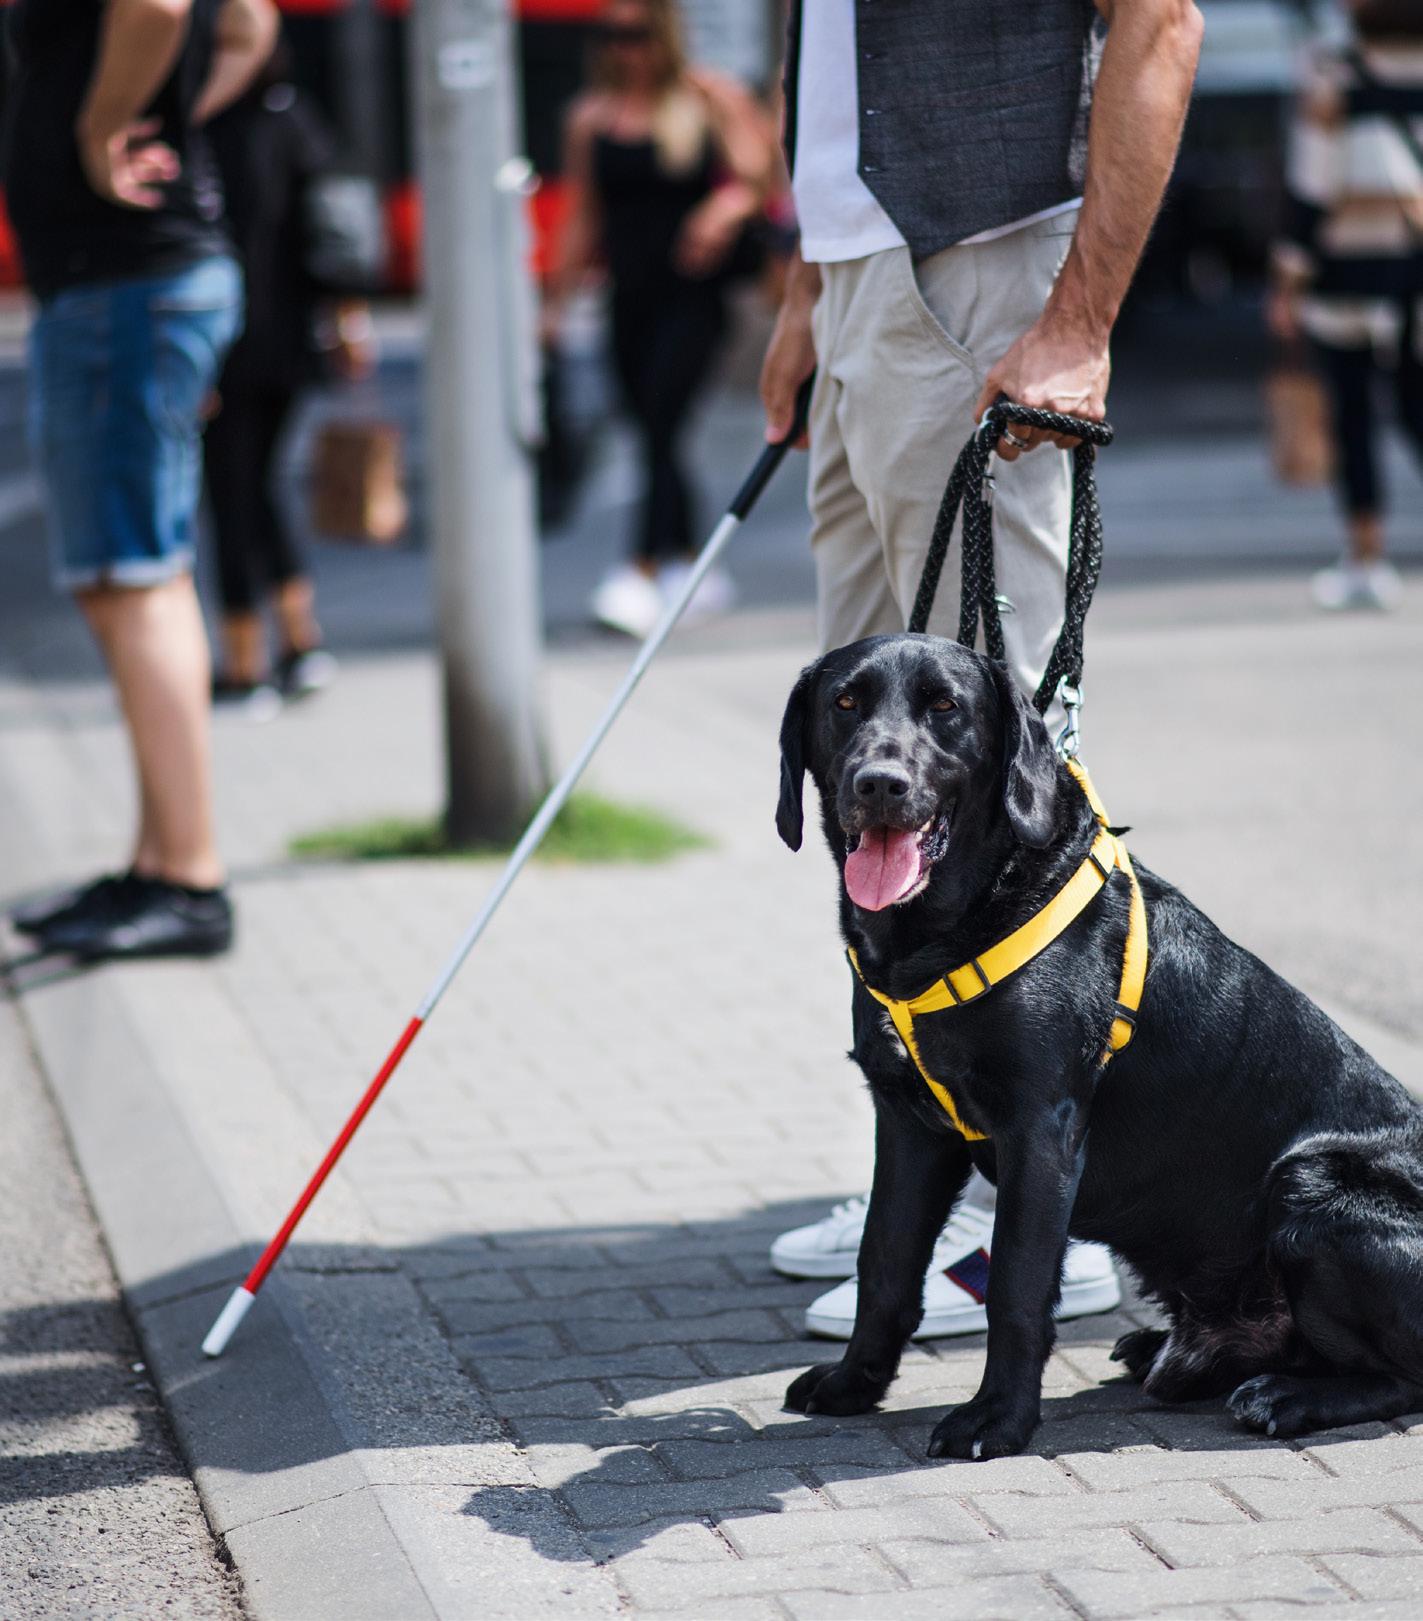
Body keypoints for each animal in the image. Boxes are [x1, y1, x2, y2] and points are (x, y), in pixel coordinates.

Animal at [775, 632, 1423, 1460]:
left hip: (1309, 1185)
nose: (879, 783)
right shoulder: (910, 1127)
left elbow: (1015, 1285)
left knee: (1402, 1373)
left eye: (944, 705)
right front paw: (852, 1382)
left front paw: (996, 1418)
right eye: (845, 702)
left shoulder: (1040, 1129)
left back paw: (1284, 1395)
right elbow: (882, 1262)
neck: (946, 929)